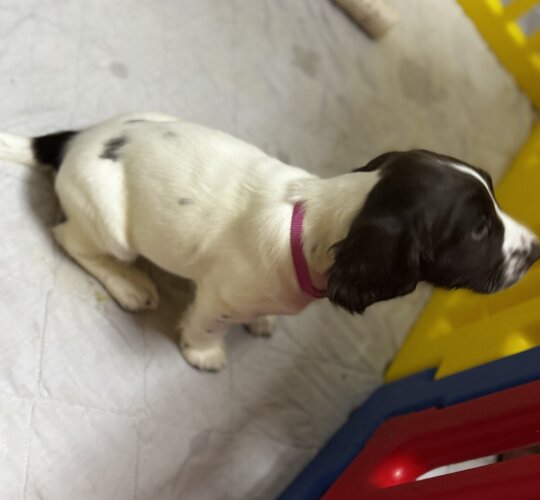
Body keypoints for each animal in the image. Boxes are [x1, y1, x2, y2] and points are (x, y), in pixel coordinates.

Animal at [0, 114, 536, 372]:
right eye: (479, 230)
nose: (534, 250)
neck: (321, 214)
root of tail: (75, 140)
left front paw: (260, 321)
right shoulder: (218, 296)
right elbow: (207, 325)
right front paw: (203, 353)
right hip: (111, 226)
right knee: (71, 239)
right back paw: (130, 284)